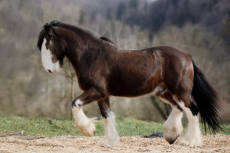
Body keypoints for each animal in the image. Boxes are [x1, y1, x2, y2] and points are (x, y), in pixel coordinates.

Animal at [36, 20, 223, 147]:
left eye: (48, 43)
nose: (49, 69)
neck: (91, 55)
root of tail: (187, 56)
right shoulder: (102, 95)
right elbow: (107, 116)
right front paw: (108, 141)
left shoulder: (96, 91)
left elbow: (75, 104)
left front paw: (89, 130)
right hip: (163, 92)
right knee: (178, 108)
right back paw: (172, 135)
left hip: (180, 91)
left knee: (193, 110)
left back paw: (190, 142)